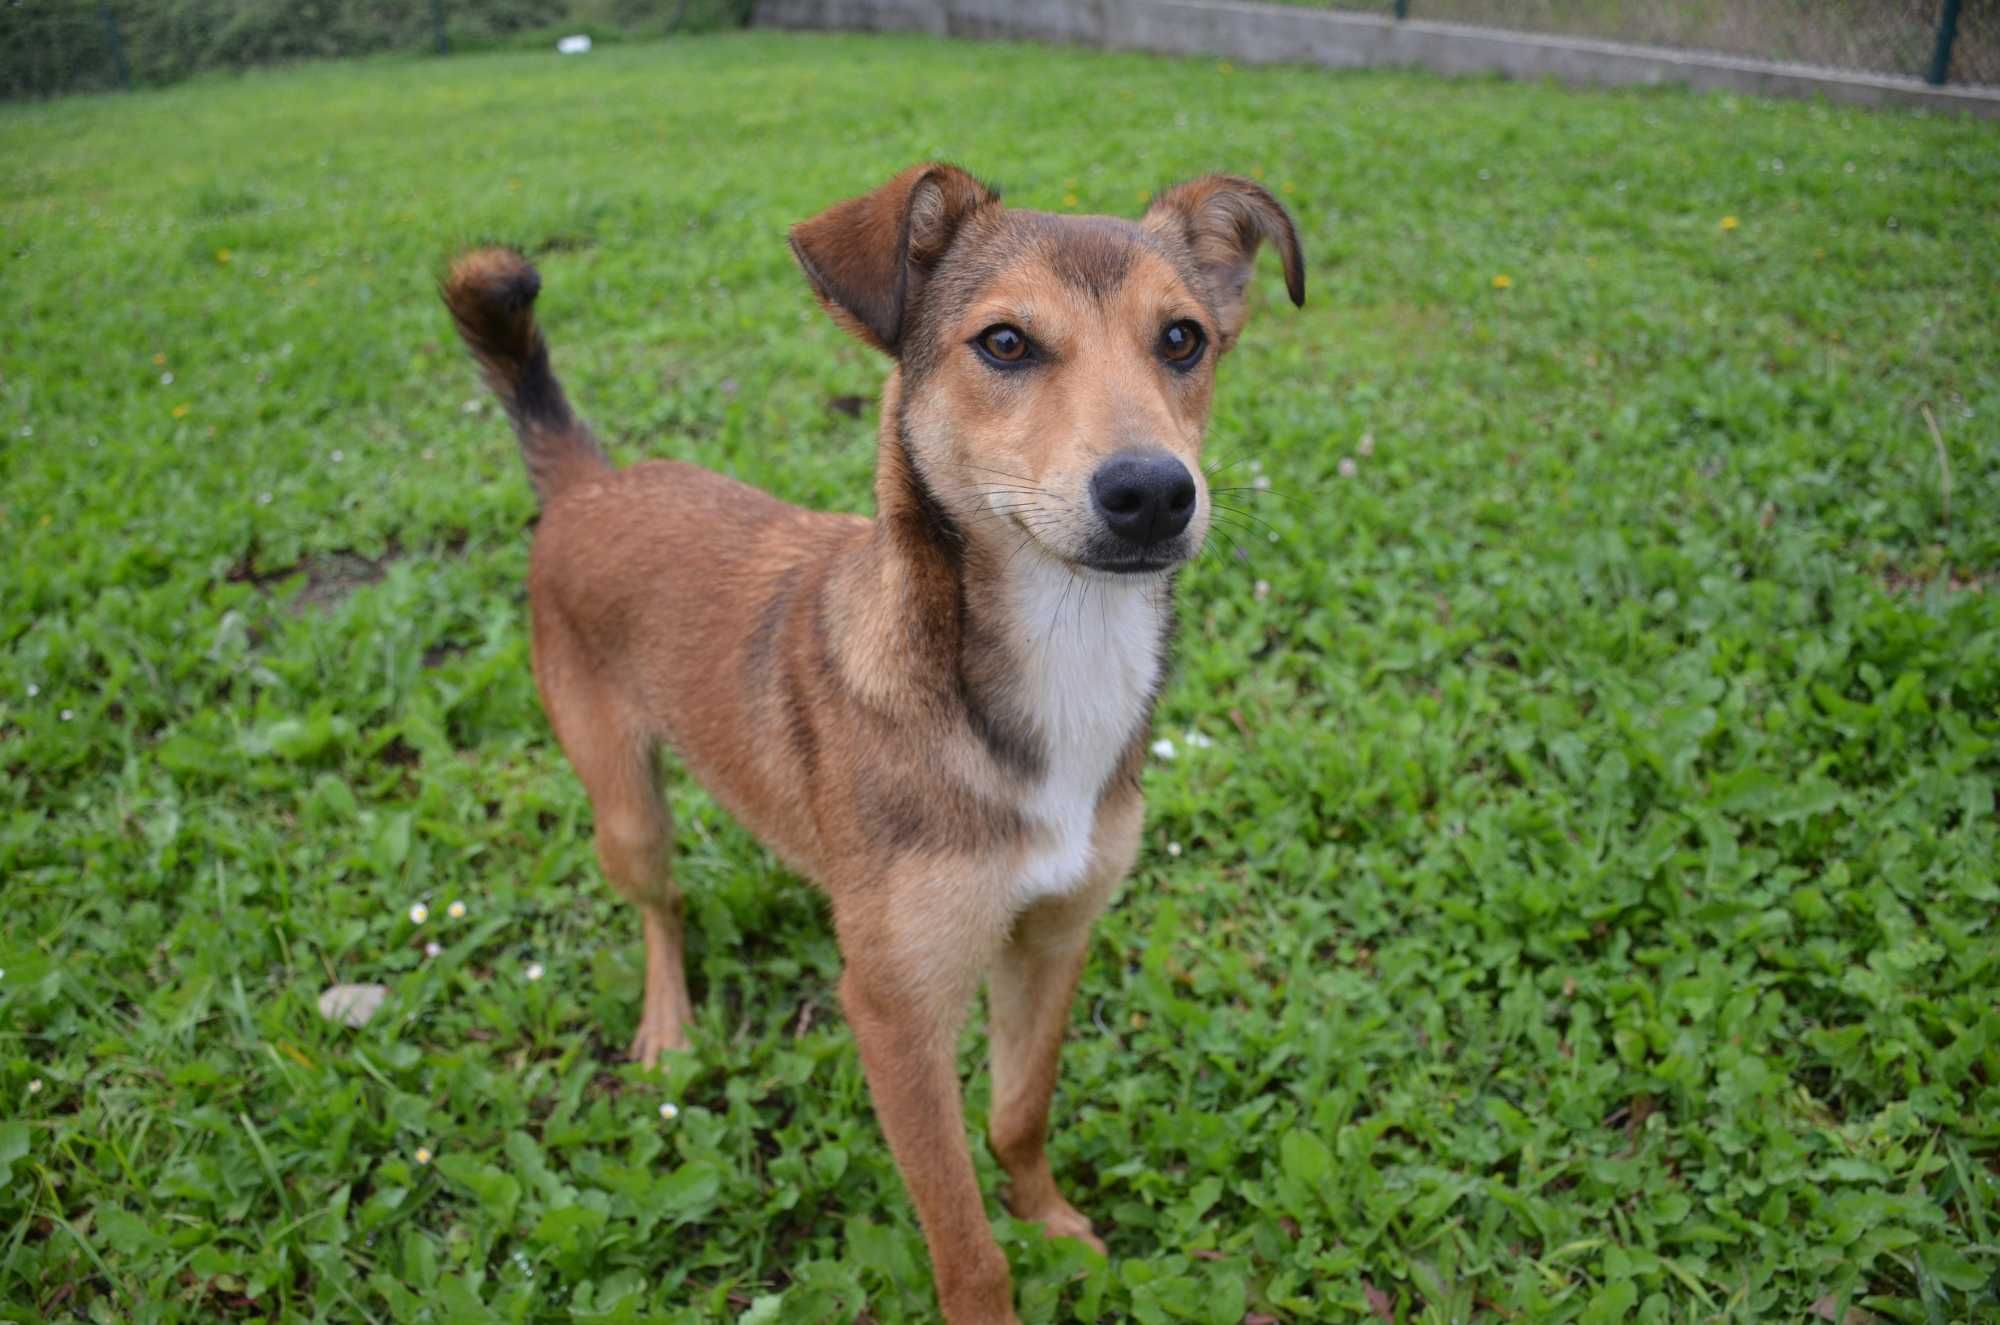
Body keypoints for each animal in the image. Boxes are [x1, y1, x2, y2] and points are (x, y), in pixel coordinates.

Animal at [446, 166, 1304, 1325]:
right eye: (1003, 343)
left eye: (1182, 339)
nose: (1153, 492)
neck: (1050, 662)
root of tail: (592, 484)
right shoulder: (895, 1014)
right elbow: (964, 1244)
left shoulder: (1053, 936)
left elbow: (1019, 1114)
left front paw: (1055, 1224)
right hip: (625, 806)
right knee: (659, 906)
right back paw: (669, 1024)